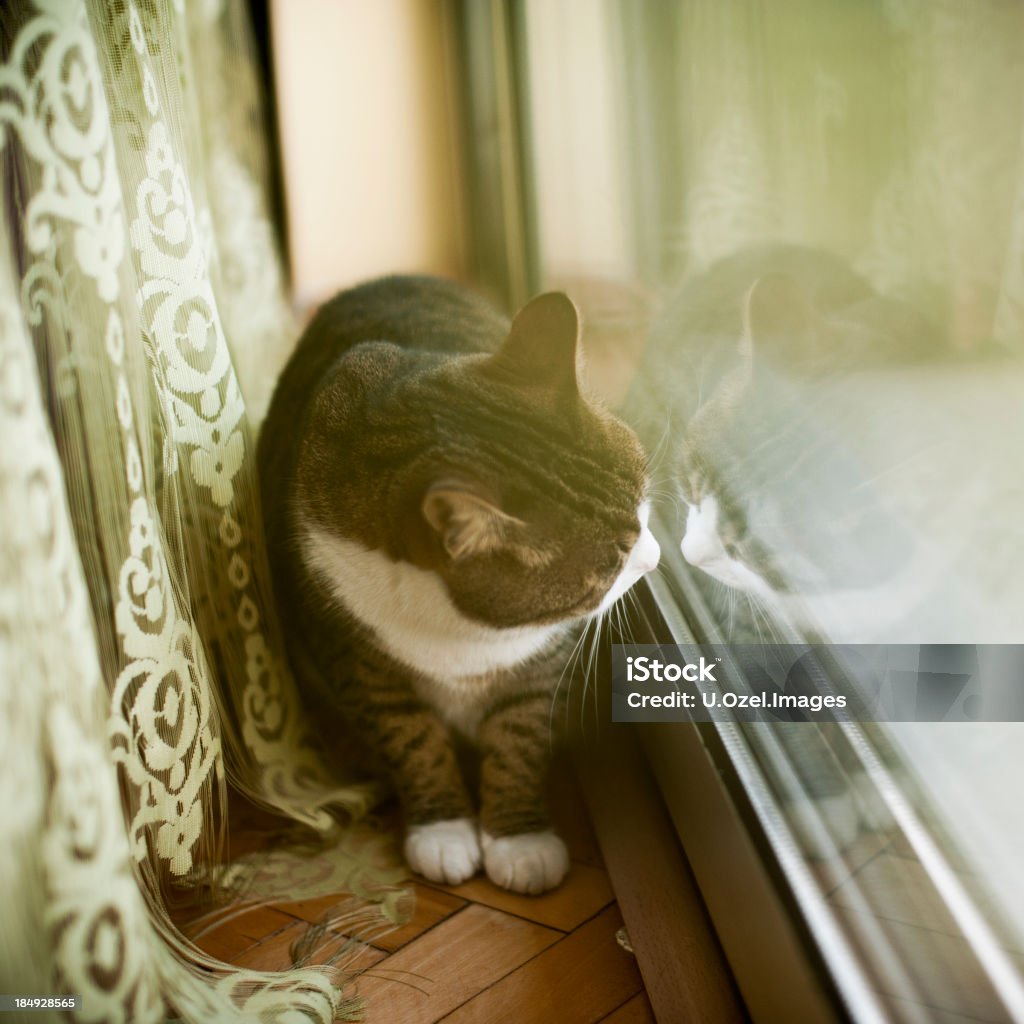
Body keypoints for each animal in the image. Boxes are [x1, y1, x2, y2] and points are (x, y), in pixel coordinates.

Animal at [256, 276, 655, 892]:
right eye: (611, 565)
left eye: (643, 501)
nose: (655, 560)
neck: (462, 632)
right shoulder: (356, 658)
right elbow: (412, 740)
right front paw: (442, 830)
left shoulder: (538, 664)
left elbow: (519, 738)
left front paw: (519, 840)